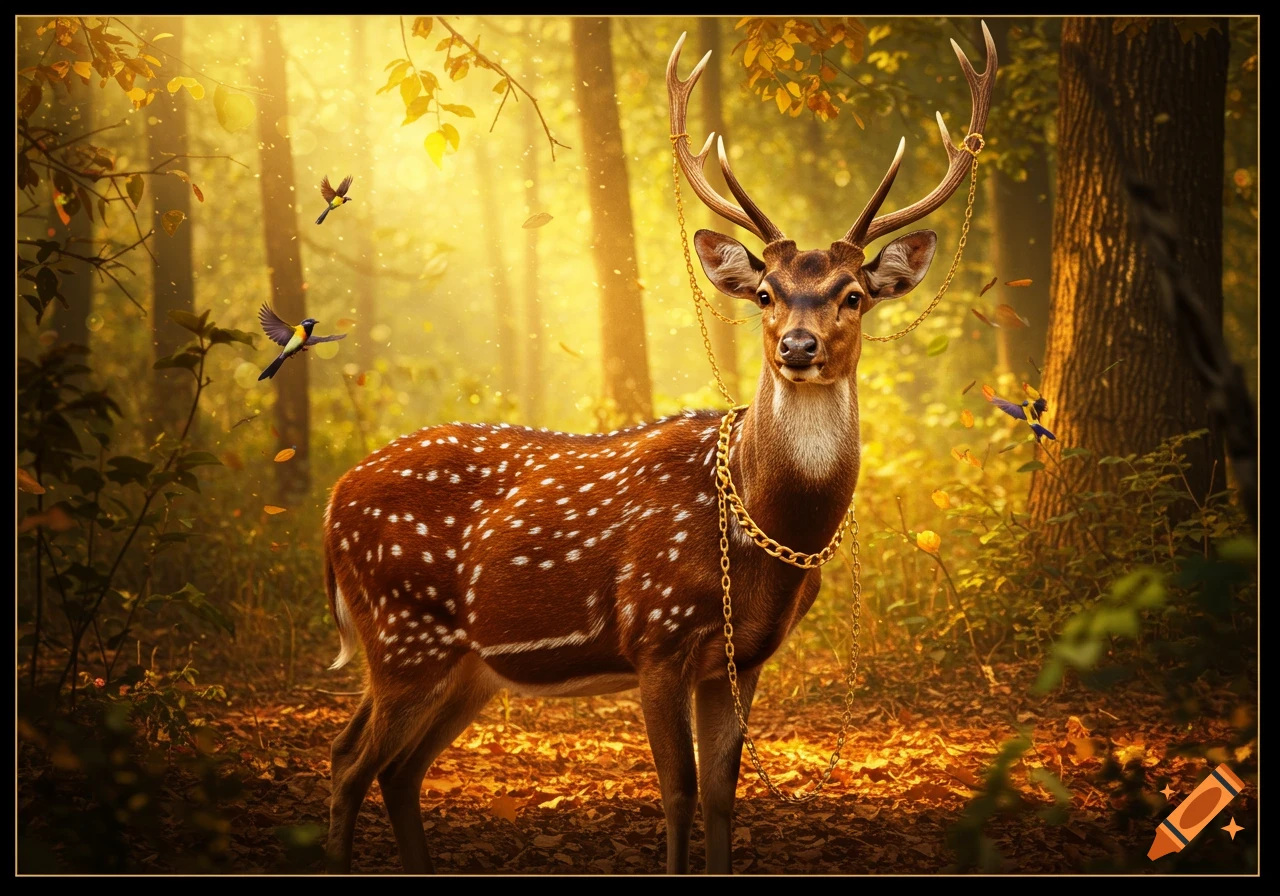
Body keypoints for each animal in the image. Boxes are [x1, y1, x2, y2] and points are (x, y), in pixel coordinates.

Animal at [322, 26, 995, 875]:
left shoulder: (743, 658)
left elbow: (720, 797)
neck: (762, 538)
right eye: (766, 293)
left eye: (854, 295)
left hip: (465, 665)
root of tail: (331, 505)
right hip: (402, 633)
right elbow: (675, 794)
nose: (798, 346)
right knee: (351, 762)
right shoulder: (657, 636)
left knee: (394, 768)